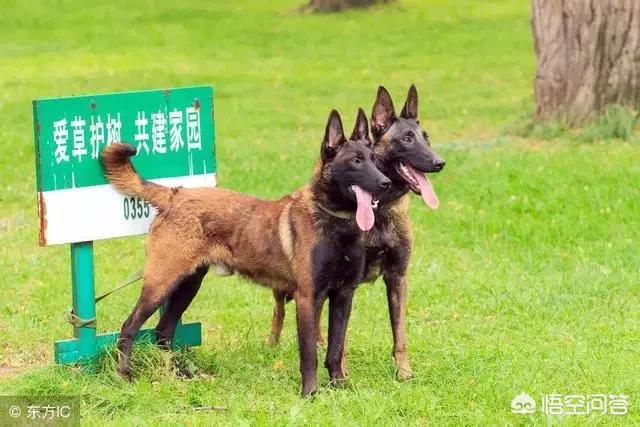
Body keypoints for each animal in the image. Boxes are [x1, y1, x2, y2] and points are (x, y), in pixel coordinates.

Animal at [100, 109, 390, 398]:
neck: (334, 222)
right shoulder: (308, 299)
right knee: (130, 327)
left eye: (375, 160)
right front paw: (309, 393)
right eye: (356, 161)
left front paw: (339, 384)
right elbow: (310, 354)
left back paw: (180, 375)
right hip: (162, 283)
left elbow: (335, 349)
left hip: (188, 284)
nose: (386, 183)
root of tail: (175, 195)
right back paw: (124, 375)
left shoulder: (343, 297)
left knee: (163, 332)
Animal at [268, 85, 444, 380]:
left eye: (426, 138)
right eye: (407, 139)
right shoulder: (348, 283)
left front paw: (403, 371)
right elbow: (342, 337)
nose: (439, 162)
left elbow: (399, 332)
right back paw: (273, 342)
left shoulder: (397, 277)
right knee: (280, 310)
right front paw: (342, 371)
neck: (378, 210)